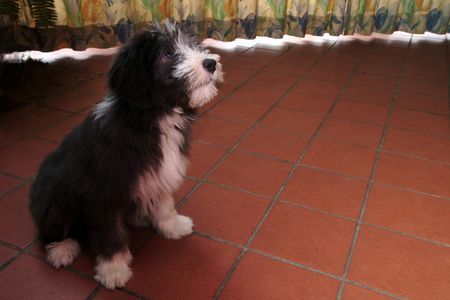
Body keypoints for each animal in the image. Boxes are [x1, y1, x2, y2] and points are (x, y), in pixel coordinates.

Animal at [29, 22, 223, 290]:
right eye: (167, 54)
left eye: (193, 45)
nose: (211, 63)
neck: (149, 120)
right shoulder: (104, 194)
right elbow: (110, 235)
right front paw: (113, 270)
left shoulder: (159, 173)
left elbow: (164, 203)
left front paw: (172, 225)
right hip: (54, 197)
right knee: (49, 230)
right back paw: (61, 249)